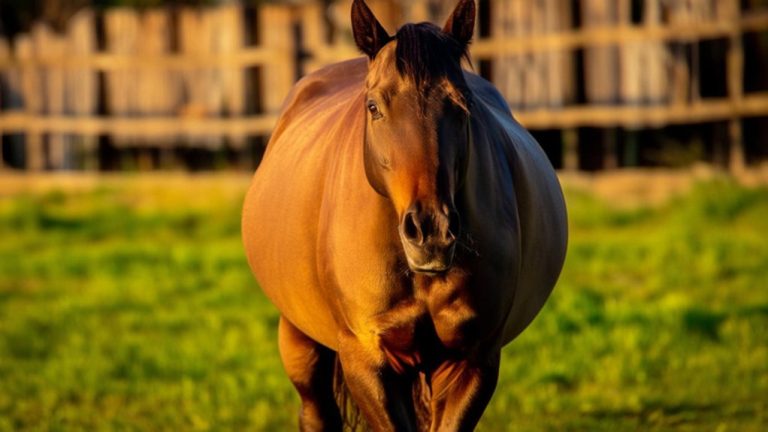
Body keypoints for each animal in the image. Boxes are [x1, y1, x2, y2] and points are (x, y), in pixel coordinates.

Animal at [242, 0, 567, 430]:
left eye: (463, 105)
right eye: (374, 107)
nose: (431, 232)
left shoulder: (473, 361)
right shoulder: (366, 360)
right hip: (298, 337)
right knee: (316, 412)